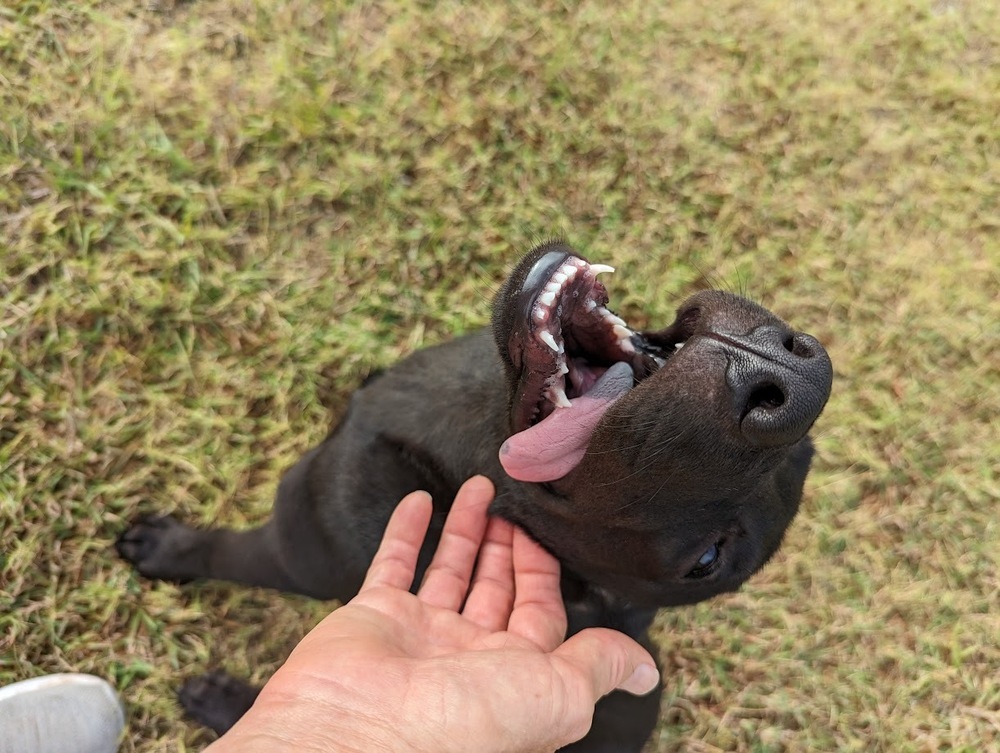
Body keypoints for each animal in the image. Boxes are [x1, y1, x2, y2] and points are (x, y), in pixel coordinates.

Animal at [119, 242, 836, 752]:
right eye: (807, 451)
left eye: (706, 561)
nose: (794, 379)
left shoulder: (294, 548)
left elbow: (224, 551)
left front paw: (162, 549)